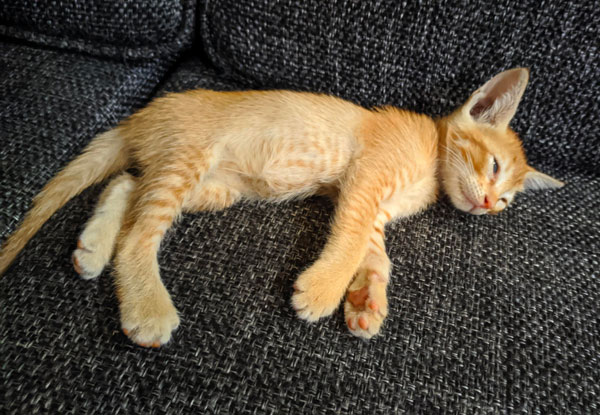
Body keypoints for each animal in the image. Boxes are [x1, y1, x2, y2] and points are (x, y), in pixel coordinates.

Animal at [0, 68, 564, 348]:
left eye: (507, 200)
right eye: (494, 166)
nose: (488, 204)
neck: (430, 154)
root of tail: (140, 115)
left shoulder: (372, 205)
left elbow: (375, 253)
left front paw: (366, 300)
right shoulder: (366, 180)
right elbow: (351, 239)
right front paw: (323, 290)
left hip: (214, 185)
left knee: (124, 182)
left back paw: (93, 247)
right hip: (188, 161)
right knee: (140, 231)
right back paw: (146, 306)